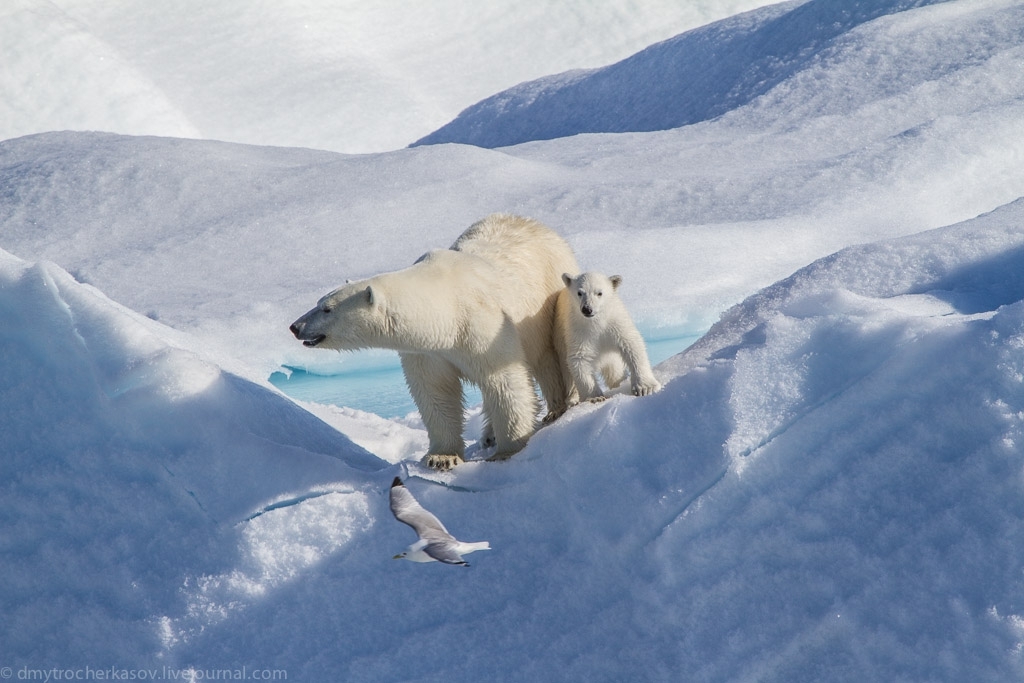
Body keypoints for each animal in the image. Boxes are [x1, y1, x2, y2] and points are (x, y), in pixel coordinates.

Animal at [292, 214, 581, 471]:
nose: (296, 327)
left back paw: (559, 407)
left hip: (550, 295)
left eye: (327, 309)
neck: (445, 312)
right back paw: (488, 435)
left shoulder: (484, 327)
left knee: (550, 353)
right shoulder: (427, 351)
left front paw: (508, 449)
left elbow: (502, 379)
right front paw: (442, 458)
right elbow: (435, 390)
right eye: (318, 302)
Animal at [552, 270, 663, 403]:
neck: (597, 322)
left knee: (615, 372)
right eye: (580, 292)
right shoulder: (578, 330)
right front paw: (595, 397)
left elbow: (631, 344)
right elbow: (579, 359)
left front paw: (645, 388)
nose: (587, 309)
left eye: (599, 293)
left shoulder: (615, 323)